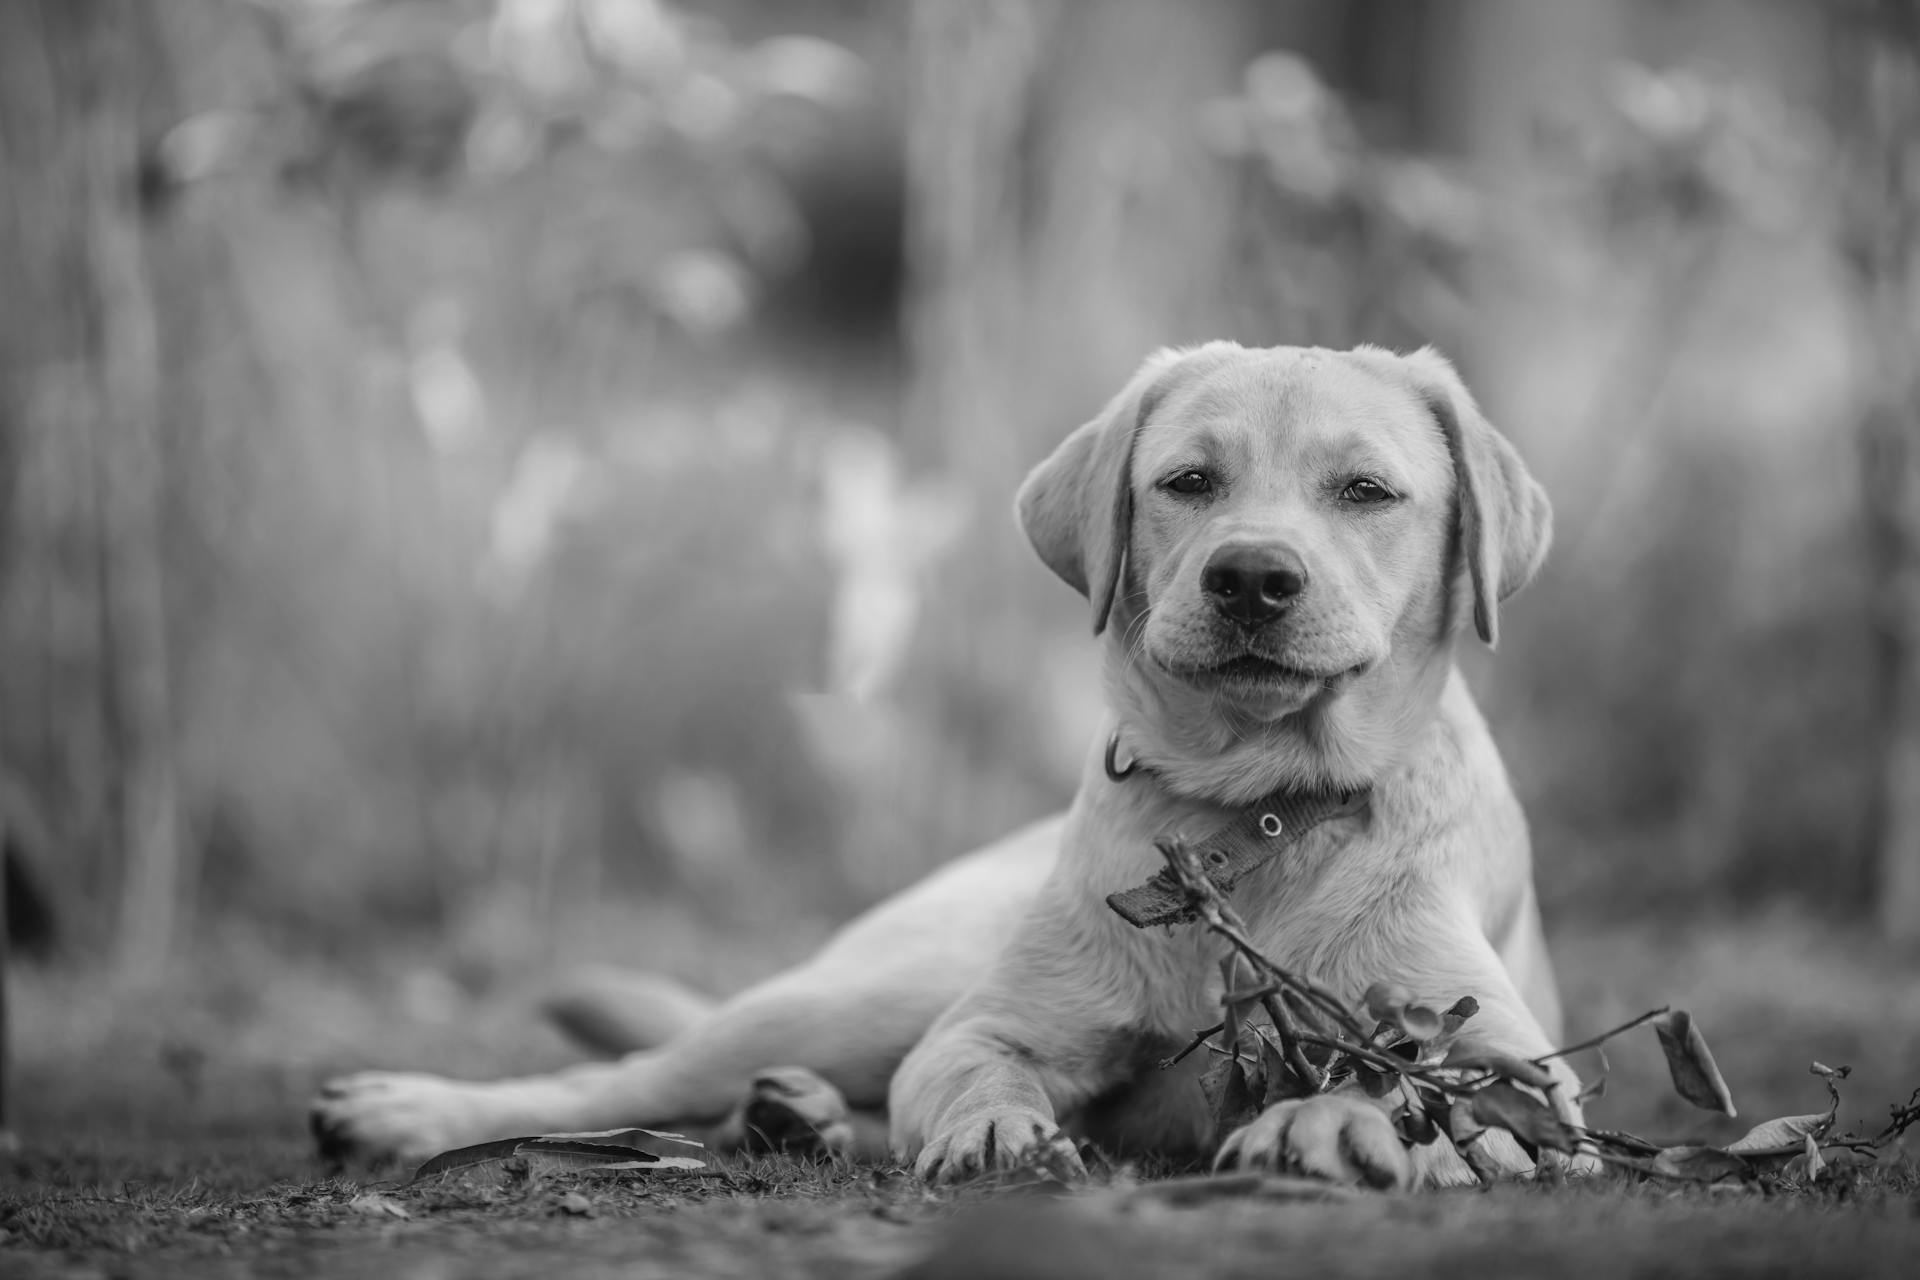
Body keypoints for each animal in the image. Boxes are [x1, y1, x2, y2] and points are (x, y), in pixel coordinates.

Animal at [311, 343, 1574, 1189]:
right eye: (1188, 483)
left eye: (1367, 491)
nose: (1253, 577)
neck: (1252, 814)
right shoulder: (986, 1027)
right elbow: (975, 1073)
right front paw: (995, 1131)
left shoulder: (1520, 1070)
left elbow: (1409, 1077)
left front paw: (1327, 1122)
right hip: (865, 995)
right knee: (629, 1078)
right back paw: (411, 1110)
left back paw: (799, 1118)